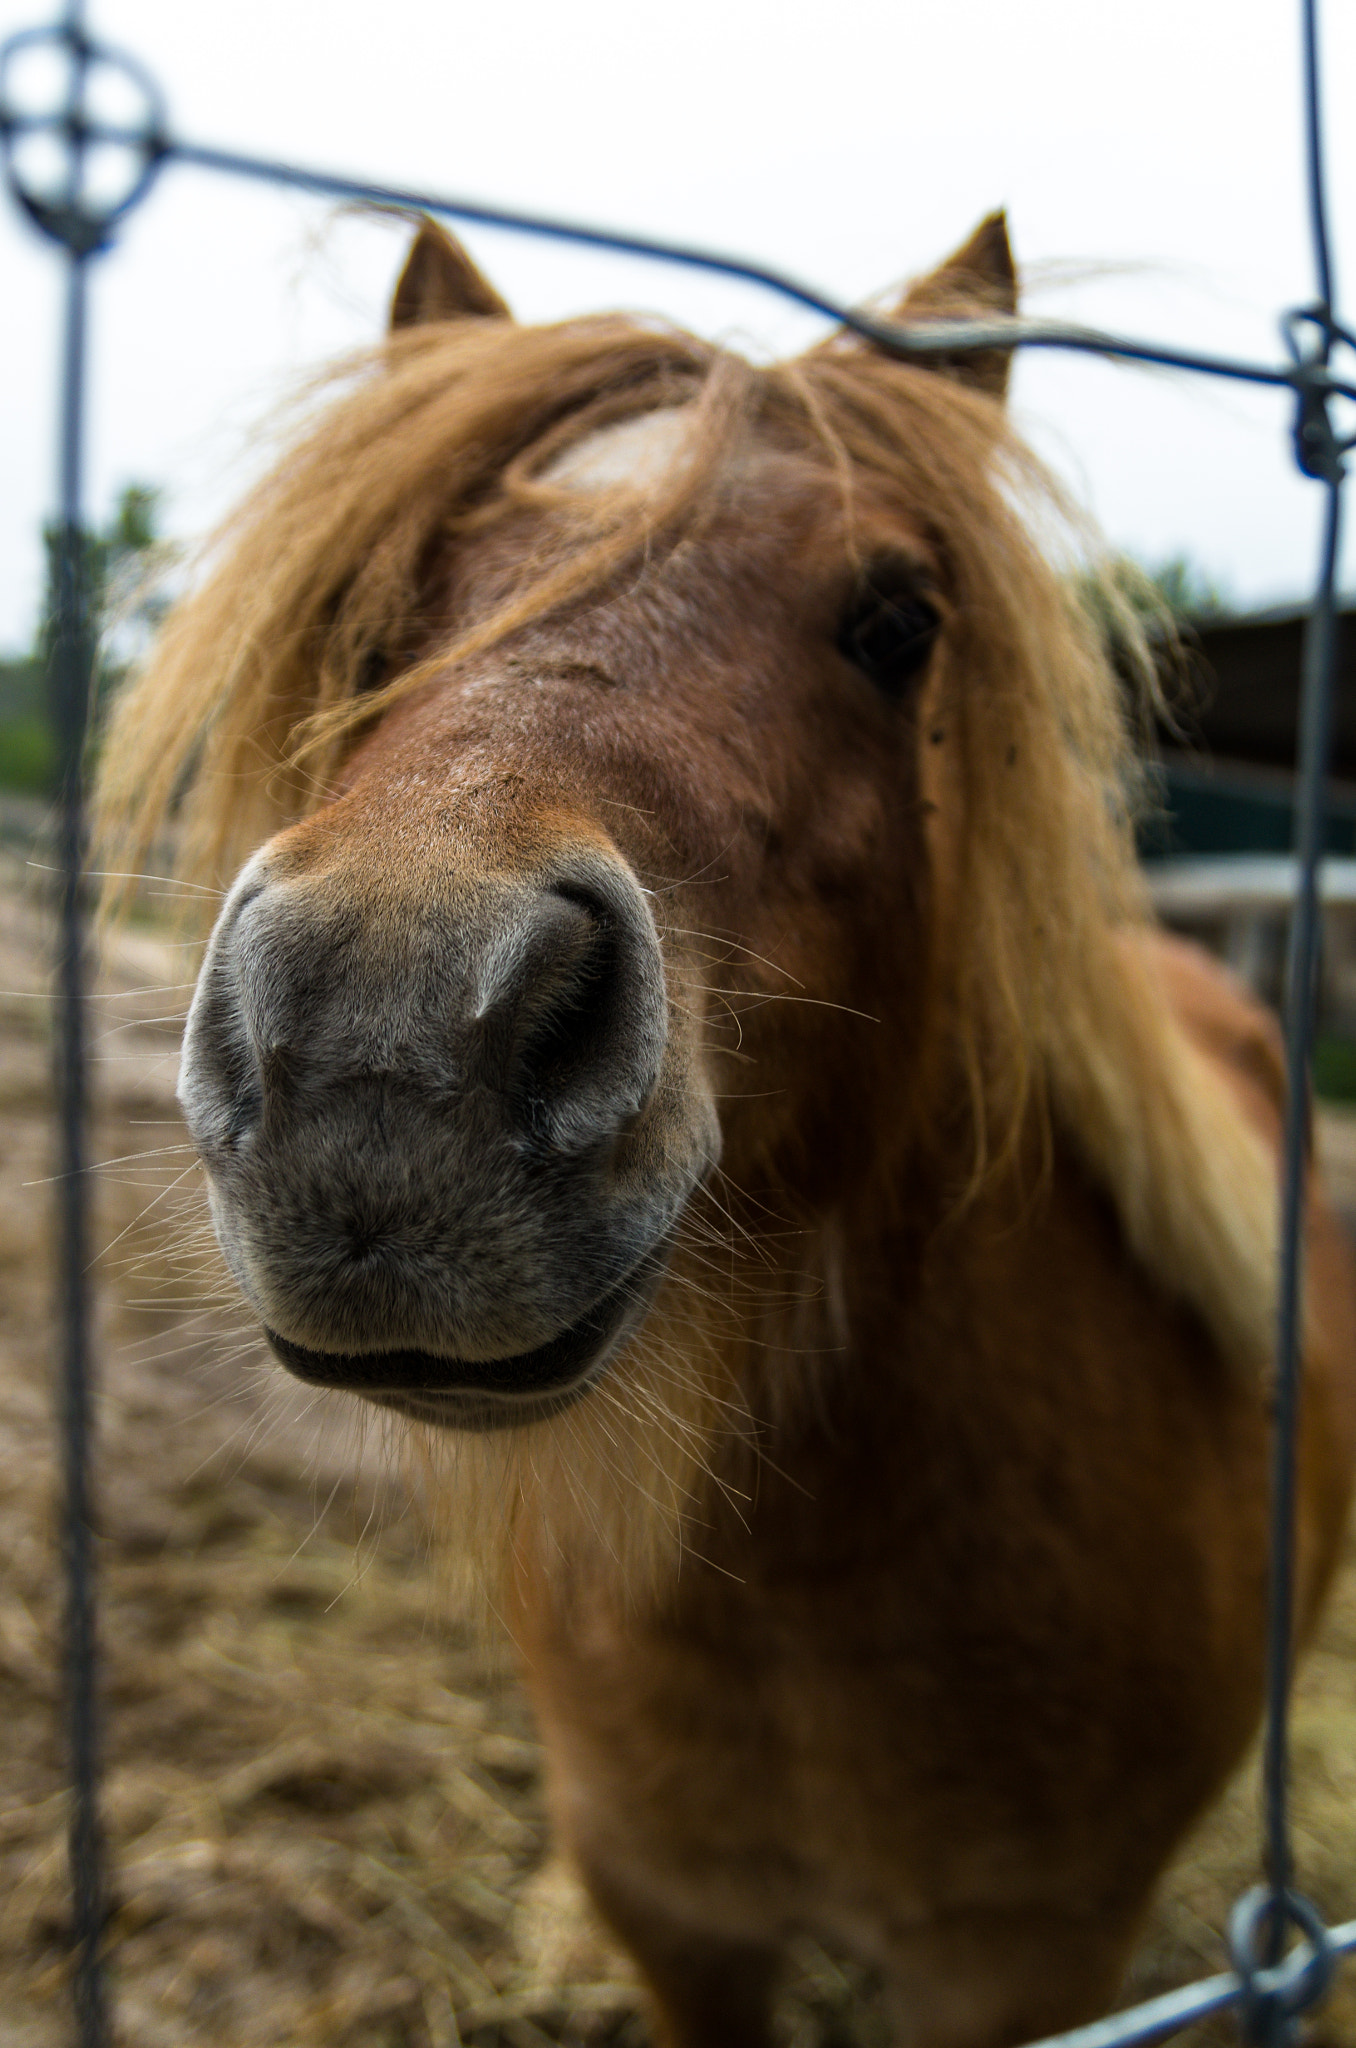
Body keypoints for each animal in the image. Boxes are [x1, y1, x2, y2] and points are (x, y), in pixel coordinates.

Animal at [95, 212, 1356, 2048]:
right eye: (381, 615)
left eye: (900, 619)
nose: (380, 1049)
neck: (812, 1599)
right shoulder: (676, 1918)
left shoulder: (1022, 1963)